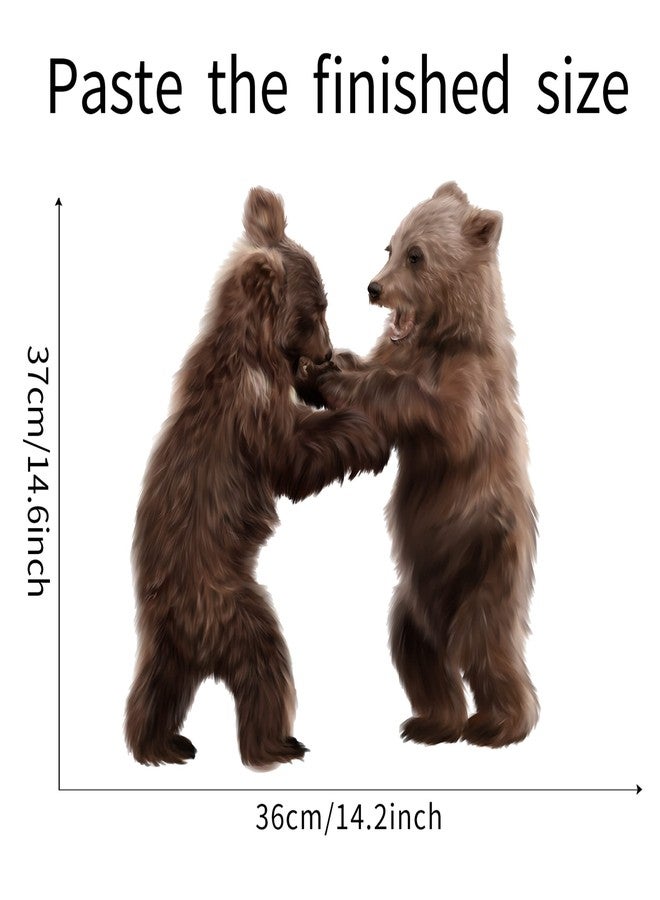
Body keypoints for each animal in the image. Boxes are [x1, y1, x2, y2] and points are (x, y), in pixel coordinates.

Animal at [125, 187, 390, 768]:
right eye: (316, 310)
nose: (326, 349)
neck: (252, 346)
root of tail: (187, 634)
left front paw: (330, 374)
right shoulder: (251, 408)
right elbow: (294, 455)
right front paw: (366, 430)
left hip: (169, 644)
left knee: (157, 687)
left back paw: (161, 744)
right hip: (233, 605)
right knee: (265, 665)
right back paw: (279, 743)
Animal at [297, 182, 539, 748]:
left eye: (416, 255)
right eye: (389, 246)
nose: (373, 287)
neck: (437, 336)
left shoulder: (472, 385)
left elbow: (441, 418)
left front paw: (341, 379)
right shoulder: (398, 351)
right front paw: (325, 367)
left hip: (488, 572)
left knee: (488, 650)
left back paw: (498, 725)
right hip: (411, 602)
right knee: (417, 652)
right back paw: (431, 723)